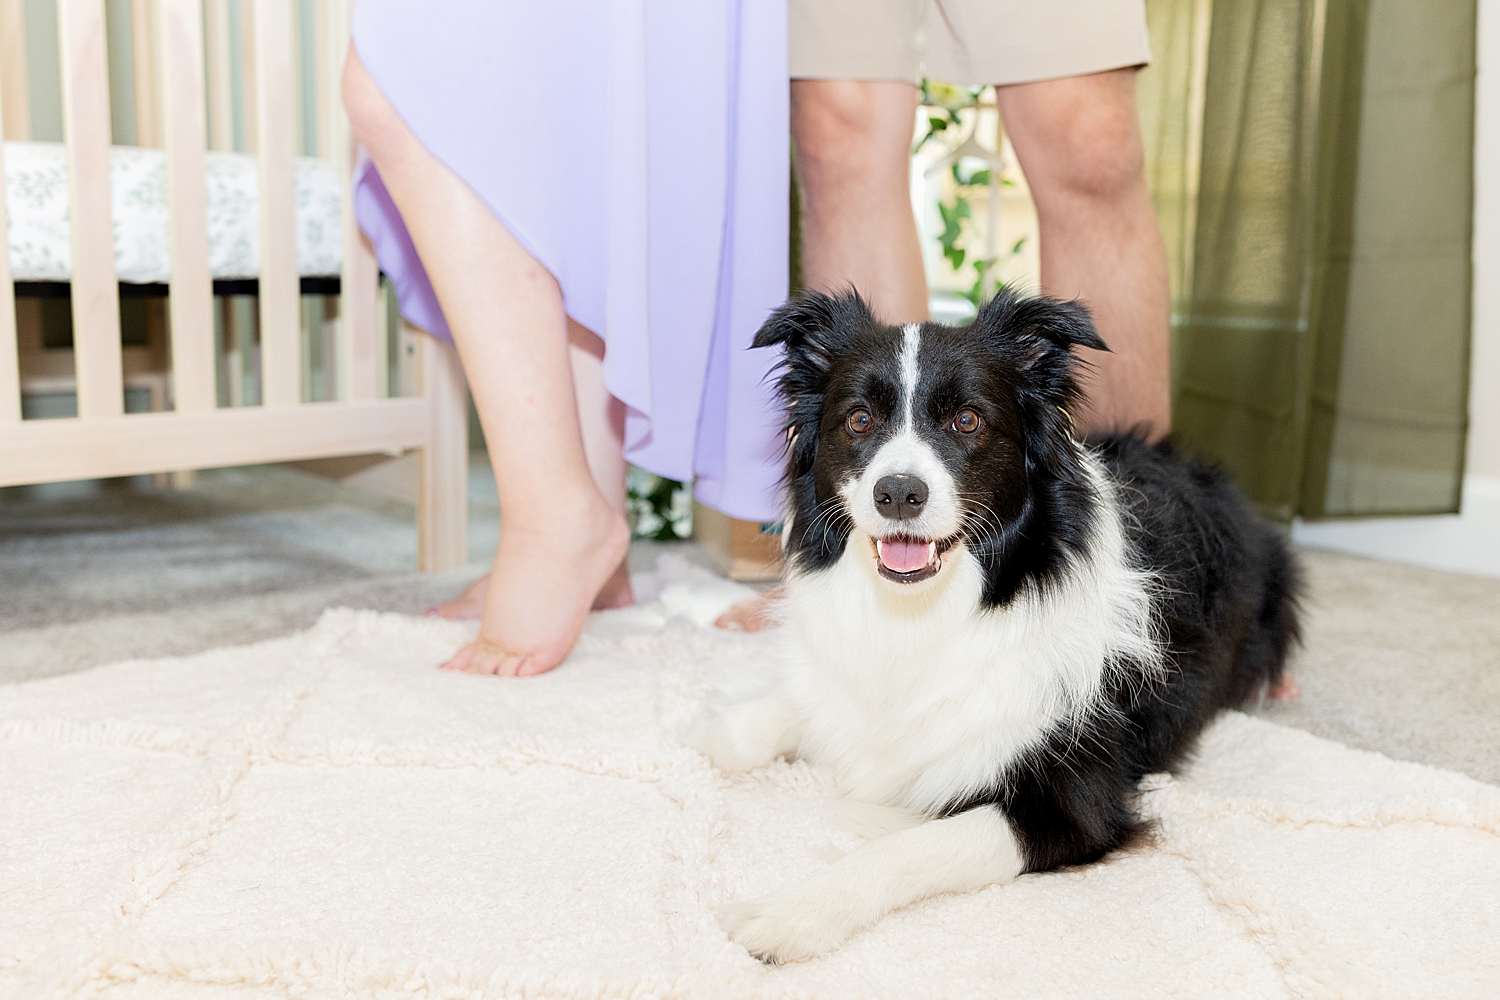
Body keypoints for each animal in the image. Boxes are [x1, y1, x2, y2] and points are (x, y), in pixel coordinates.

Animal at [690, 287, 1302, 959]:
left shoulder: (1072, 805)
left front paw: (790, 911)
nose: (897, 494)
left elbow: (910, 846)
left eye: (967, 421)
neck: (927, 611)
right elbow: (744, 730)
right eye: (859, 420)